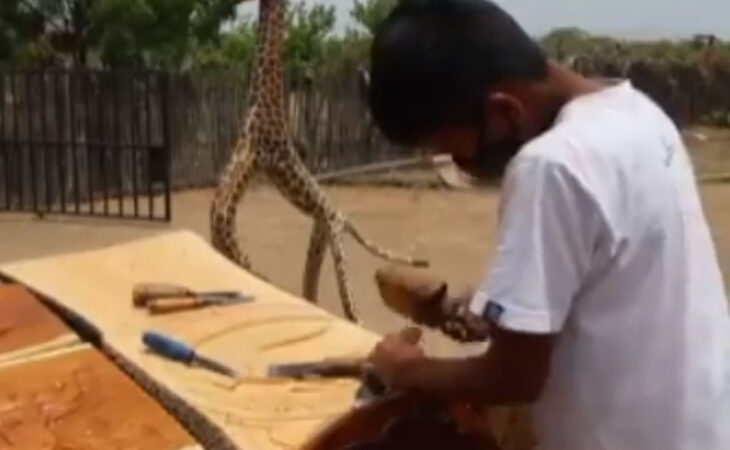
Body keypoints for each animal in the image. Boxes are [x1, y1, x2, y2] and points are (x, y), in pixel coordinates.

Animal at [209, 0, 426, 324]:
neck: (260, 102)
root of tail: (339, 213)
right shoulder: (237, 169)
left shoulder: (251, 159)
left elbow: (227, 232)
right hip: (319, 237)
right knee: (310, 288)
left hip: (336, 242)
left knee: (350, 306)